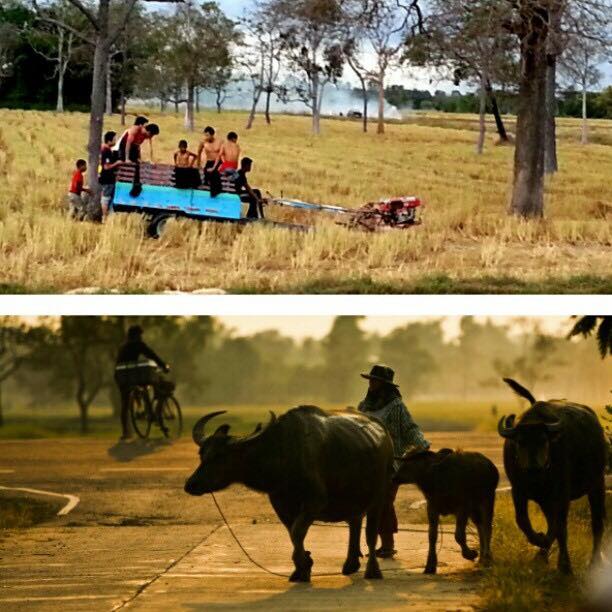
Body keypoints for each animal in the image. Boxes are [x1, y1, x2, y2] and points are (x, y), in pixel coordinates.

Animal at [184, 406, 394, 584]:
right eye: (202, 454)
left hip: (380, 495)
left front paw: (304, 563)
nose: (191, 484)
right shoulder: (280, 504)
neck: (283, 453)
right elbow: (292, 533)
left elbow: (297, 531)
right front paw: (302, 568)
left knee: (370, 533)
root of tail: (384, 433)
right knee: (355, 522)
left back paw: (373, 571)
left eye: (221, 456)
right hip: (353, 497)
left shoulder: (314, 502)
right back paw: (350, 564)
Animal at [396, 444, 498, 572]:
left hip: (487, 500)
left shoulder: (462, 508)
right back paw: (482, 559)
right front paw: (430, 565)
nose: (394, 477)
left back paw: (487, 558)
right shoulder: (432, 508)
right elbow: (432, 536)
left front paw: (470, 554)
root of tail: (491, 466)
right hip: (475, 509)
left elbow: (459, 535)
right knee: (480, 526)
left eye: (410, 462)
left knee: (487, 526)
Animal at [498, 378, 608, 572]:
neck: (538, 479)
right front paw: (541, 542)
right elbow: (523, 521)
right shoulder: (518, 491)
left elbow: (561, 527)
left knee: (597, 523)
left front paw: (564, 565)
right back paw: (542, 553)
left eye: (543, 440)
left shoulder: (561, 494)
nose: (534, 467)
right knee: (552, 522)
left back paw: (595, 561)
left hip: (597, 484)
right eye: (520, 442)